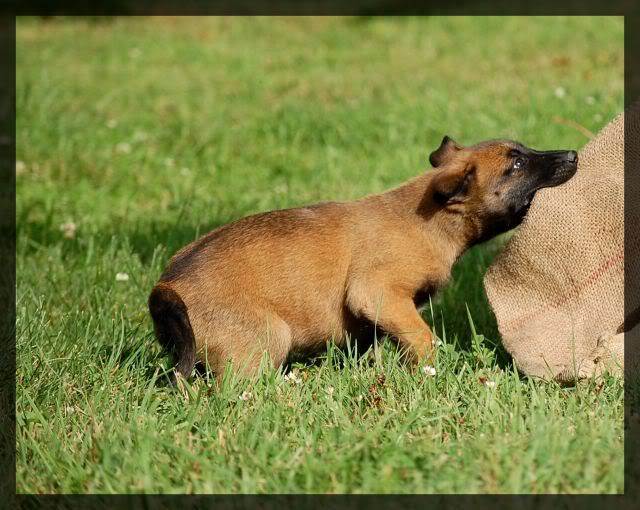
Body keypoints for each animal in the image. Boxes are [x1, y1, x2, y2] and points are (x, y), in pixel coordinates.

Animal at [150, 137, 580, 380]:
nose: (574, 155)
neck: (429, 218)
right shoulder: (378, 293)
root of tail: (168, 285)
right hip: (265, 339)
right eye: (517, 164)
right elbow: (423, 338)